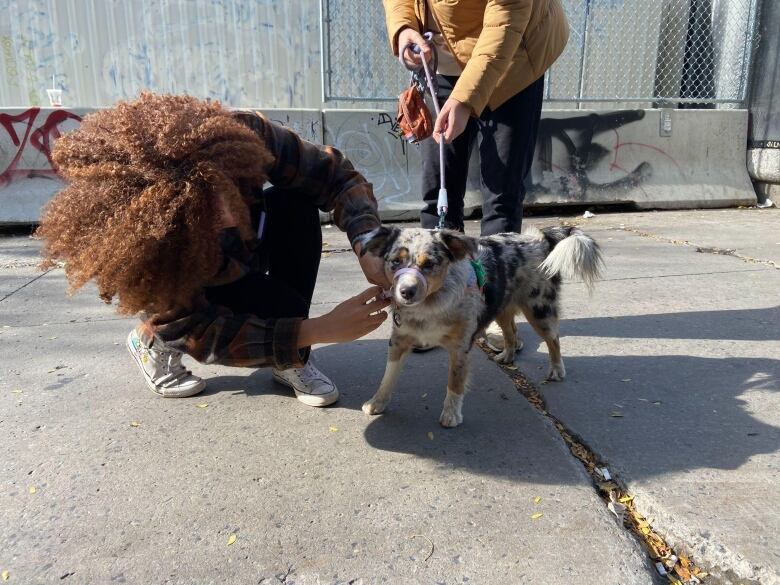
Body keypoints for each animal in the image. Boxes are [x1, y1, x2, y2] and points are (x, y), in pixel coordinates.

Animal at [360, 226, 604, 426]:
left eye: (429, 264)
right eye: (395, 262)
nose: (406, 292)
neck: (430, 305)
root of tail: (539, 238)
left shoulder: (460, 347)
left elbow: (455, 383)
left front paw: (451, 415)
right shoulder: (399, 341)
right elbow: (388, 376)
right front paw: (377, 402)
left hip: (539, 309)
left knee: (553, 340)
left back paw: (556, 369)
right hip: (501, 308)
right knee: (511, 333)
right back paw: (507, 355)